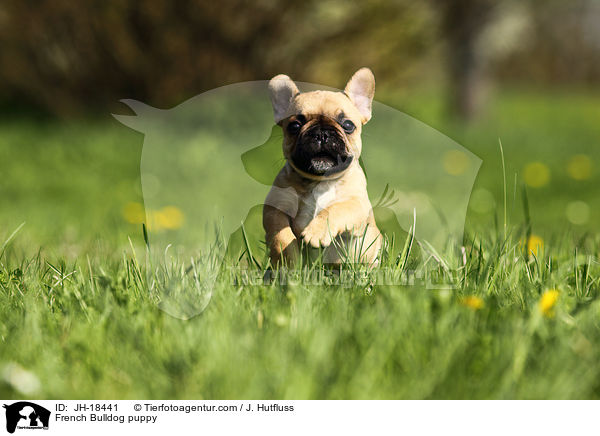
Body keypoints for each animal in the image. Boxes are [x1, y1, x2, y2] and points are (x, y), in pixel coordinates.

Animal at [262, 67, 380, 266]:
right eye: (295, 126)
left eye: (348, 125)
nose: (322, 133)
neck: (320, 181)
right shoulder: (275, 207)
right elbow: (280, 233)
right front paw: (288, 259)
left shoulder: (357, 204)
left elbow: (335, 209)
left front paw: (316, 232)